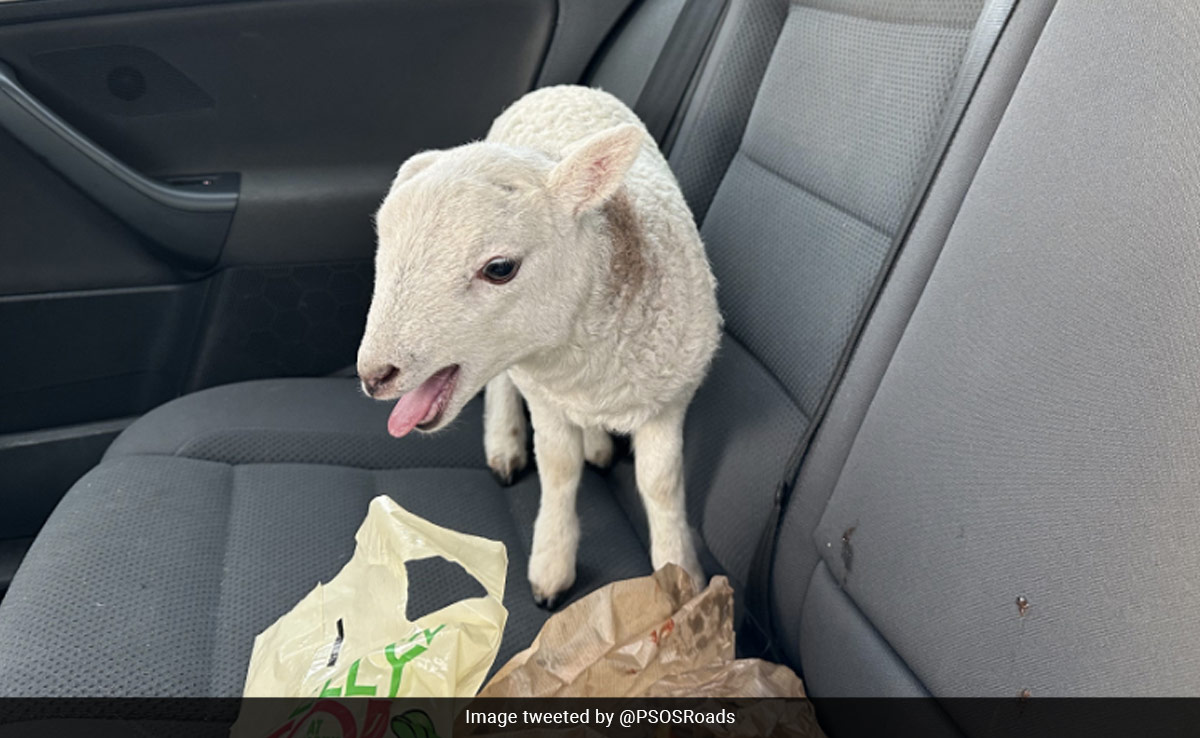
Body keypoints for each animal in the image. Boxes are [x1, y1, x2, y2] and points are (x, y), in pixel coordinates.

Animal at [357, 85, 721, 607]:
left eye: (500, 268)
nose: (373, 375)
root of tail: (563, 88)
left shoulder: (670, 397)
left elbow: (660, 484)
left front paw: (680, 574)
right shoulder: (544, 394)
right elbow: (559, 467)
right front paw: (552, 564)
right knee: (504, 384)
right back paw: (505, 440)